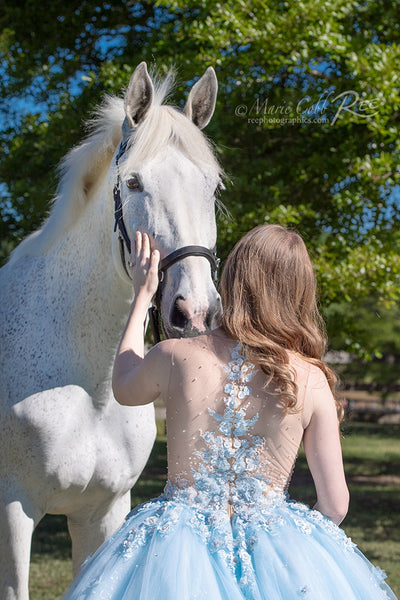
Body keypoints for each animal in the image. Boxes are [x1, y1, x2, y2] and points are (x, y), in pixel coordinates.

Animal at [0, 62, 222, 600]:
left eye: (212, 187)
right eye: (134, 182)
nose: (196, 312)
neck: (92, 387)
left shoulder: (103, 511)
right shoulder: (12, 513)